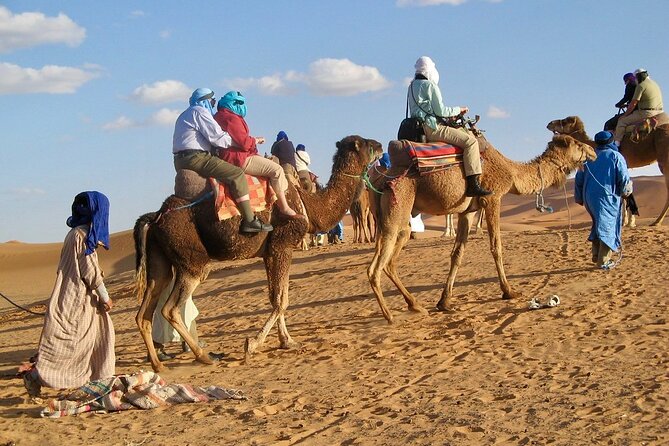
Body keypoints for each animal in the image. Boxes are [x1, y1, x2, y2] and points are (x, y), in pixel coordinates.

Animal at [134, 134, 380, 372]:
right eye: (365, 143)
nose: (379, 146)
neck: (307, 205)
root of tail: (156, 217)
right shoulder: (282, 245)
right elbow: (281, 300)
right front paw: (252, 344)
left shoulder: (270, 252)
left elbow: (278, 297)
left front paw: (287, 341)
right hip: (193, 261)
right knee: (171, 309)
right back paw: (204, 356)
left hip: (160, 261)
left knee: (145, 311)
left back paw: (158, 364)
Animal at [366, 134, 596, 322]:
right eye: (577, 144)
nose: (592, 151)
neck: (510, 171)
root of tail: (380, 178)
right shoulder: (493, 198)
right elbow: (496, 247)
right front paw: (509, 291)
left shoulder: (467, 210)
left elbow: (457, 253)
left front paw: (444, 302)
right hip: (398, 206)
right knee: (375, 267)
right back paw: (389, 316)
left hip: (391, 219)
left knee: (389, 261)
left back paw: (415, 305)